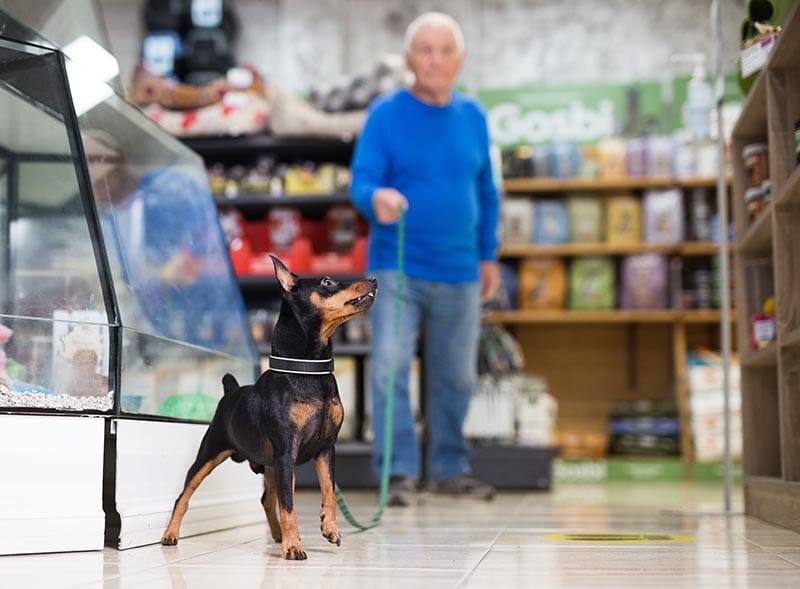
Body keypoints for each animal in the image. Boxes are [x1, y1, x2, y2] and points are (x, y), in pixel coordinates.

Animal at [162, 255, 378, 560]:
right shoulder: (287, 451)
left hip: (271, 466)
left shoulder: (326, 449)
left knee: (266, 498)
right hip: (211, 453)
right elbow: (289, 504)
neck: (308, 371)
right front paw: (294, 547)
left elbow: (329, 491)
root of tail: (231, 391)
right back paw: (170, 535)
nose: (374, 280)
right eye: (326, 281)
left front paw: (329, 528)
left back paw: (277, 535)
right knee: (184, 495)